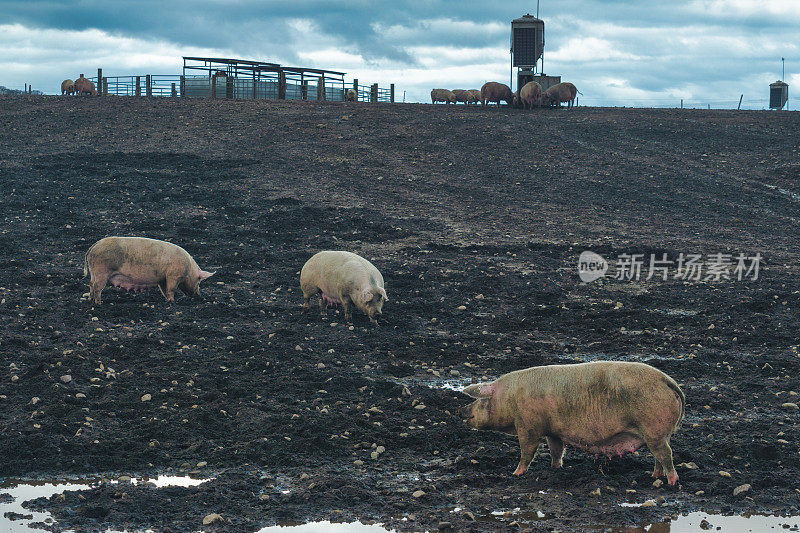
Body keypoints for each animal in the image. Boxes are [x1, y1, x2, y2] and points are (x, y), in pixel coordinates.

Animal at [83, 237, 214, 304]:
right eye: (199, 281)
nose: (199, 296)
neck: (189, 269)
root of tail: (93, 246)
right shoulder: (173, 276)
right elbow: (171, 289)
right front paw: (172, 302)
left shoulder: (163, 278)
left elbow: (164, 290)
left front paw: (167, 301)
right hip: (102, 271)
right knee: (97, 287)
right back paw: (98, 303)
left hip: (94, 271)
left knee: (90, 283)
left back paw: (90, 300)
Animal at [460, 360, 684, 484]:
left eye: (482, 401)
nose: (461, 410)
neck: (510, 397)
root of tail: (668, 381)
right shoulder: (553, 431)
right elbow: (556, 450)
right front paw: (555, 468)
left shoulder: (528, 425)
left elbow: (527, 451)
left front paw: (515, 473)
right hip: (657, 434)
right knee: (659, 456)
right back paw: (654, 477)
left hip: (653, 429)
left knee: (666, 455)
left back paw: (671, 482)